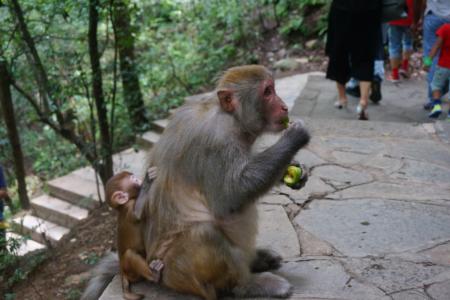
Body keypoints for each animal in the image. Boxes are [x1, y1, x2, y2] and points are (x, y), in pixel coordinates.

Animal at [104, 169, 163, 300]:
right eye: (133, 179)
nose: (138, 178)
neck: (121, 207)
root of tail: (122, 272)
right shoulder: (129, 207)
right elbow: (137, 213)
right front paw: (148, 180)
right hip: (130, 271)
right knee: (130, 254)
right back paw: (154, 275)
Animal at [137, 64, 312, 298]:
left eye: (273, 88)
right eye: (267, 92)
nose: (284, 107)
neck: (231, 118)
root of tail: (153, 272)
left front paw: (296, 172)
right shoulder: (216, 142)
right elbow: (229, 198)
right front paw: (295, 136)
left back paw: (256, 259)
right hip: (179, 274)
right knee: (205, 232)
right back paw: (246, 284)